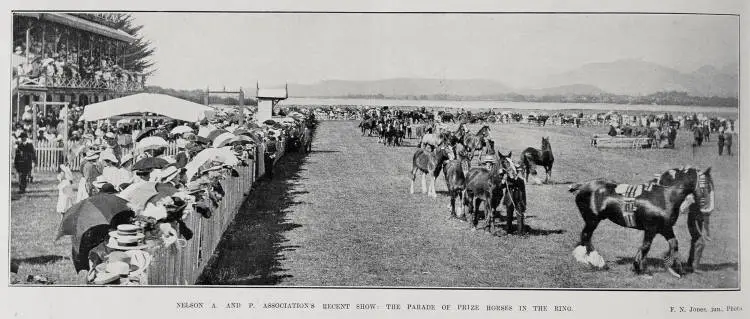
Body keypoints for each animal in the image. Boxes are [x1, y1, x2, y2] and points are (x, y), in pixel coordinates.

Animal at [568, 168, 716, 278]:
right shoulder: (651, 228)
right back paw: (596, 262)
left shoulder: (665, 228)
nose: (705, 208)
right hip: (592, 220)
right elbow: (646, 247)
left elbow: (674, 244)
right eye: (707, 185)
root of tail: (582, 185)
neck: (664, 195)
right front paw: (638, 267)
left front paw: (677, 270)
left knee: (585, 238)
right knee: (586, 237)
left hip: (592, 221)